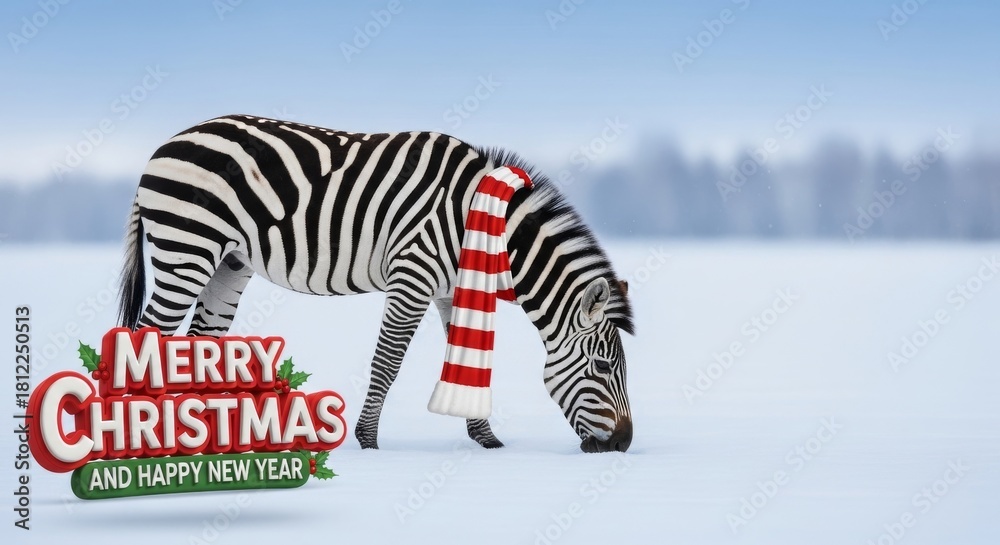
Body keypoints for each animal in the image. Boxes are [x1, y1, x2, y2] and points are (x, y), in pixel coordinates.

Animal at [116, 114, 635, 453]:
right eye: (605, 368)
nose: (624, 445)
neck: (481, 218)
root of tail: (168, 142)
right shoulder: (414, 273)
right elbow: (387, 362)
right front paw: (367, 440)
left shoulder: (452, 288)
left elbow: (466, 358)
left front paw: (485, 439)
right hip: (187, 247)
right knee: (149, 336)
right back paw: (148, 438)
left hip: (229, 262)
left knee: (201, 340)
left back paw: (206, 437)